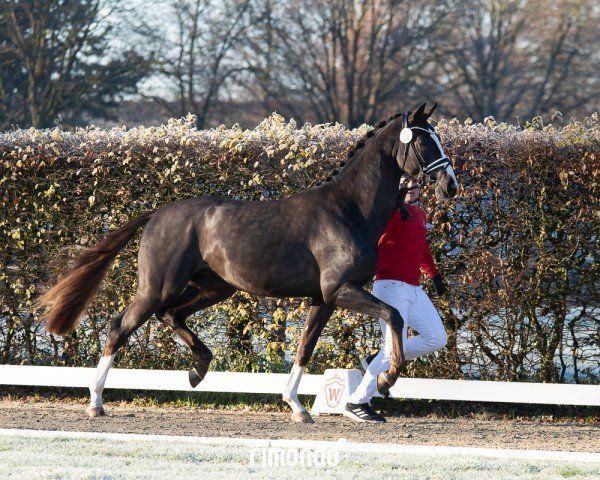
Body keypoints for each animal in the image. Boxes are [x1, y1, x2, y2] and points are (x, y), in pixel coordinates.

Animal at [37, 103, 458, 422]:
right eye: (423, 140)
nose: (450, 185)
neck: (349, 210)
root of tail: (158, 213)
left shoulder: (323, 299)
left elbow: (305, 347)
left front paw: (297, 407)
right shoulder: (341, 290)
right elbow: (395, 316)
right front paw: (386, 379)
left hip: (214, 287)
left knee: (171, 315)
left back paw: (198, 368)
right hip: (159, 286)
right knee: (120, 326)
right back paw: (95, 401)